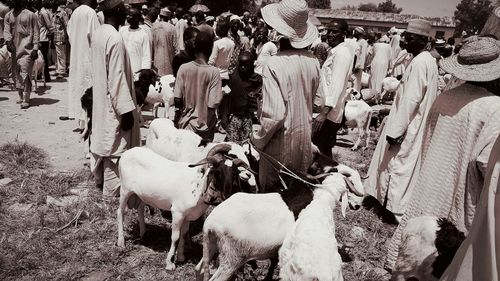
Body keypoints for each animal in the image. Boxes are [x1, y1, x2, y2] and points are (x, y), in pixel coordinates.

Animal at [117, 143, 258, 270]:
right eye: (218, 173)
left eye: (234, 174)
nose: (227, 195)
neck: (198, 186)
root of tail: (127, 153)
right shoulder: (177, 213)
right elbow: (175, 237)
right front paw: (170, 263)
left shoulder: (188, 216)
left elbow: (184, 234)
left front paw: (181, 257)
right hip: (125, 190)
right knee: (120, 213)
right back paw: (121, 242)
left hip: (140, 194)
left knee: (140, 209)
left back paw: (143, 235)